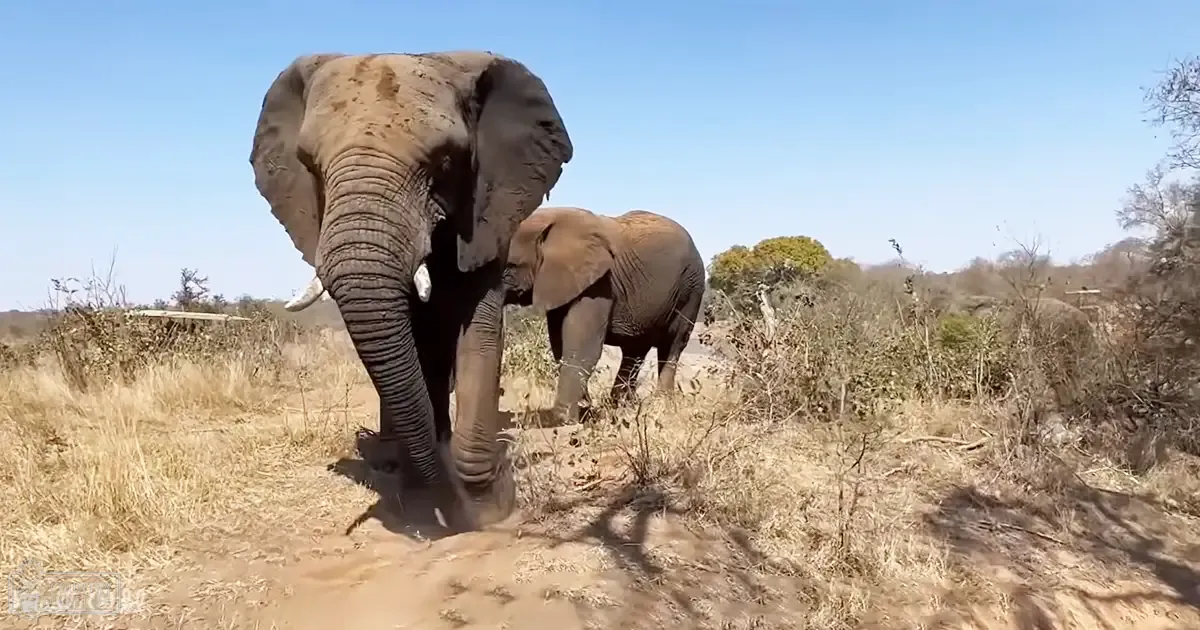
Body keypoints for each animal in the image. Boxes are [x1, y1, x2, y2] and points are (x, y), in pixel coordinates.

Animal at [250, 51, 573, 533]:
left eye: (444, 162)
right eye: (309, 163)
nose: (454, 507)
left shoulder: (485, 214)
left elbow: (479, 332)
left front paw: (490, 510)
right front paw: (425, 504)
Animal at [501, 206, 706, 424]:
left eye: (508, 268)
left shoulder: (600, 284)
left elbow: (582, 348)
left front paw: (566, 421)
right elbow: (560, 346)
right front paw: (585, 412)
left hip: (691, 288)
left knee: (672, 344)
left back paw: (661, 405)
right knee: (635, 350)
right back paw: (621, 406)